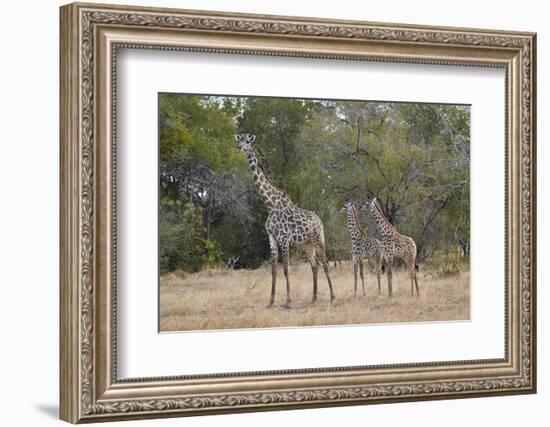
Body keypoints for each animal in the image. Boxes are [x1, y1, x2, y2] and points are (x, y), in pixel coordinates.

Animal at [236, 131, 336, 308]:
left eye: (248, 141)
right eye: (239, 139)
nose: (239, 147)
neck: (270, 205)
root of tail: (320, 221)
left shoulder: (283, 238)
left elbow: (286, 269)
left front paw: (288, 301)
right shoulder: (272, 238)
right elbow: (274, 270)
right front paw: (271, 301)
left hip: (318, 239)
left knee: (325, 263)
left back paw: (332, 297)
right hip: (307, 244)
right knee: (314, 265)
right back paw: (314, 298)